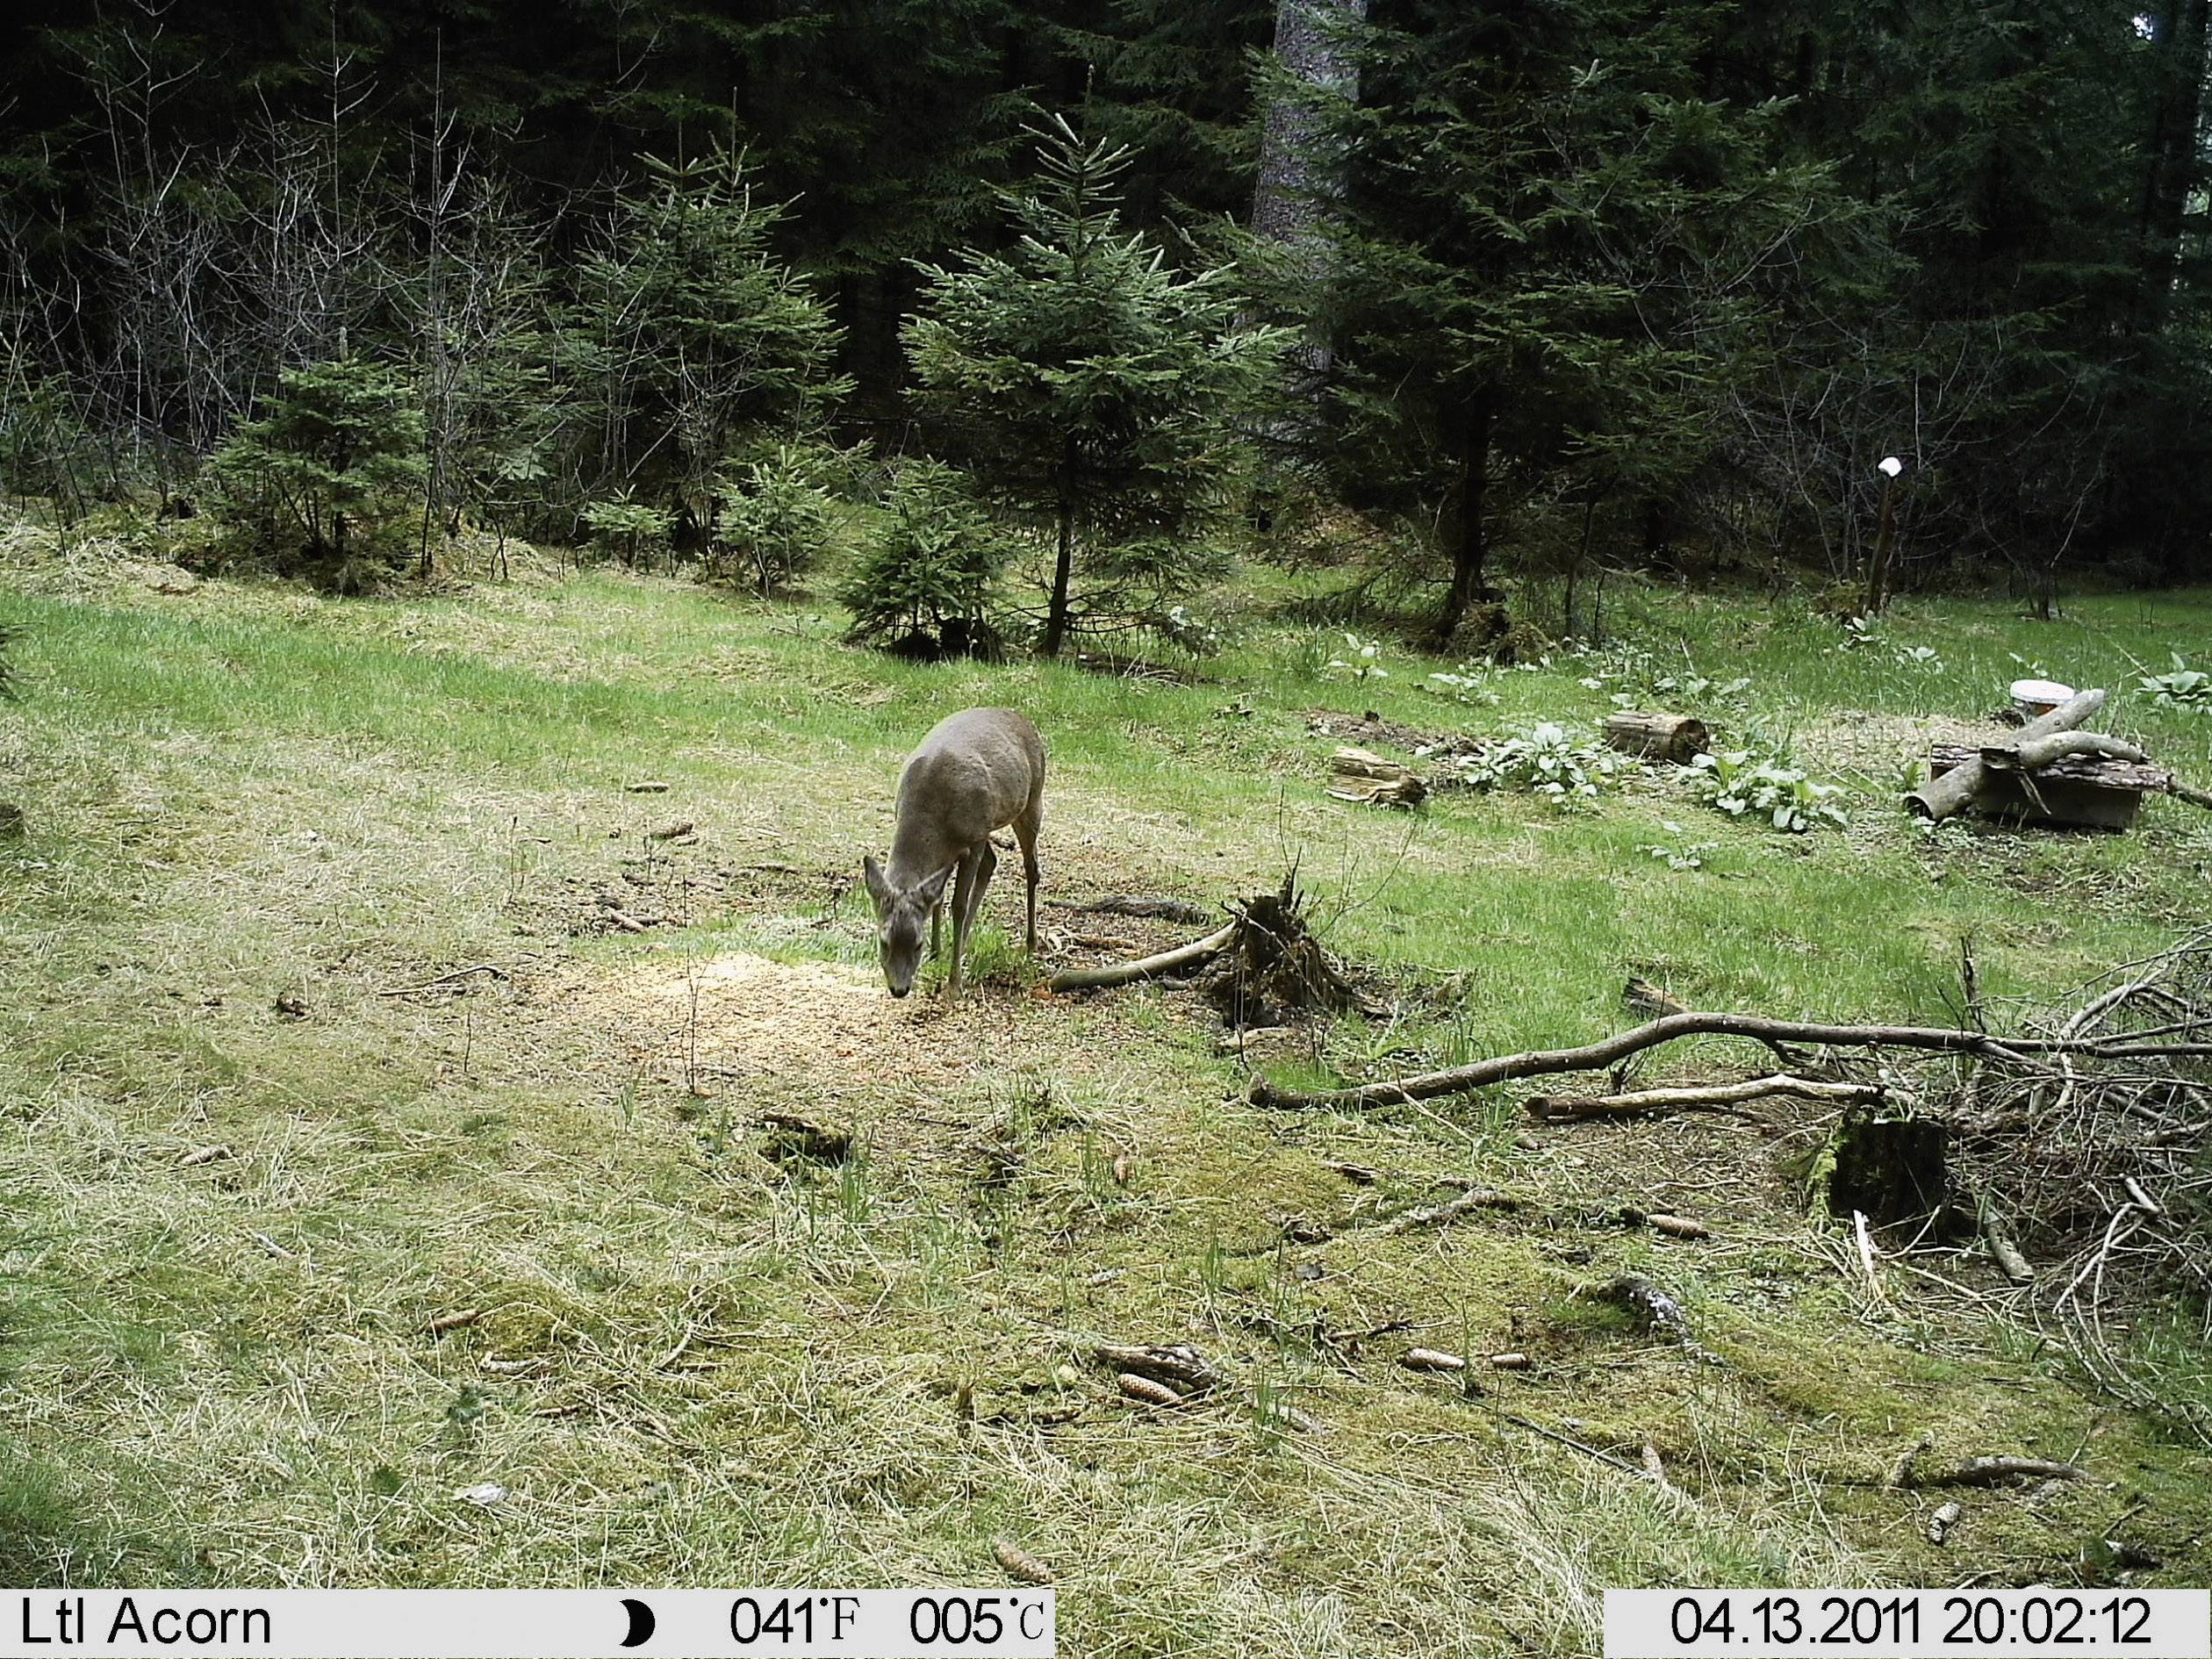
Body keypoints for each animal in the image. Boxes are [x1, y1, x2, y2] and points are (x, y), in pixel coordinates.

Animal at [862, 707, 1045, 998]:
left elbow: (958, 905)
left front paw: (954, 984)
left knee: (1032, 868)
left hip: (1031, 801)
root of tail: (1022, 719)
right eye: (884, 942)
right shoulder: (950, 850)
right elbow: (938, 898)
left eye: (917, 943)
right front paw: (937, 953)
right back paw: (962, 942)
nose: (899, 989)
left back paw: (1030, 944)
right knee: (992, 862)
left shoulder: (975, 837)